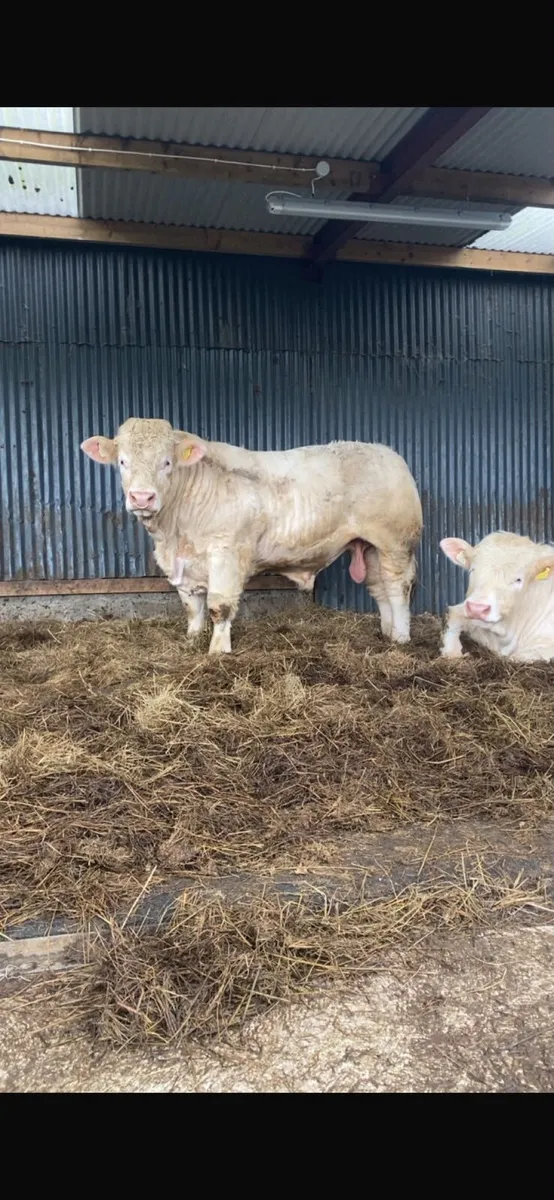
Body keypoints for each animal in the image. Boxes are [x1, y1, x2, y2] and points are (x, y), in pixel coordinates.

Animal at [81, 418, 423, 655]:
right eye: (122, 461)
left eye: (166, 462)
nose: (142, 497)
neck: (175, 533)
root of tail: (387, 452)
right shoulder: (183, 564)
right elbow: (192, 606)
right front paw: (192, 640)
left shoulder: (225, 554)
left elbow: (219, 606)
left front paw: (218, 650)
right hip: (369, 546)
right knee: (379, 589)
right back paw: (387, 632)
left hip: (395, 542)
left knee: (398, 587)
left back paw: (401, 637)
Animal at [440, 531, 554, 662]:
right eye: (472, 570)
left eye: (519, 579)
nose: (476, 609)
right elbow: (453, 615)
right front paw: (452, 651)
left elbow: (517, 657)